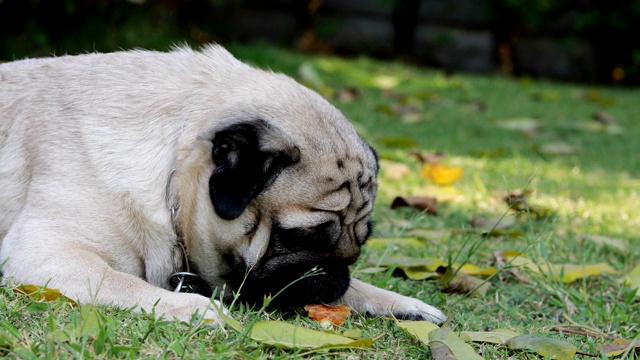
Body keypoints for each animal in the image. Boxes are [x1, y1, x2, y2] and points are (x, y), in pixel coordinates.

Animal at [0, 44, 448, 324]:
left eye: (361, 245)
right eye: (299, 238)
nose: (335, 273)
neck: (170, 169)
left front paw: (399, 302)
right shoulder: (47, 252)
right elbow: (123, 283)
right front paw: (190, 307)